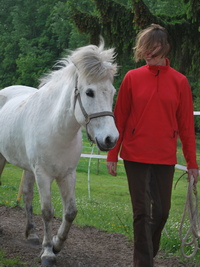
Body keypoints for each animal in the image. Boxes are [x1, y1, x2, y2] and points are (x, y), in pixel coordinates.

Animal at [0, 40, 119, 266]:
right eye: (89, 92)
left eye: (112, 92)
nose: (111, 139)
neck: (56, 129)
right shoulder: (43, 175)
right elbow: (47, 212)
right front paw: (48, 252)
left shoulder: (67, 175)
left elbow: (70, 212)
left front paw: (56, 244)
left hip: (28, 168)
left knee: (27, 195)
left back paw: (33, 234)